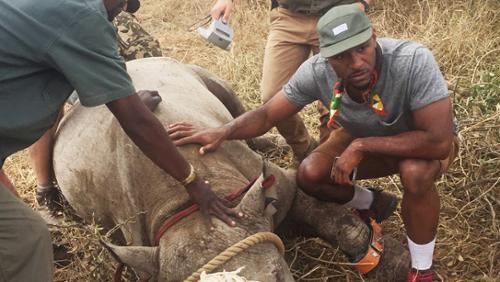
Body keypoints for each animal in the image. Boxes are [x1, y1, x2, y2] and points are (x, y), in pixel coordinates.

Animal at [52, 57, 408, 282]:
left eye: (279, 276)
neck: (183, 206)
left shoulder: (277, 186)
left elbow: (335, 221)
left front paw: (395, 265)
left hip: (185, 70)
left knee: (233, 104)